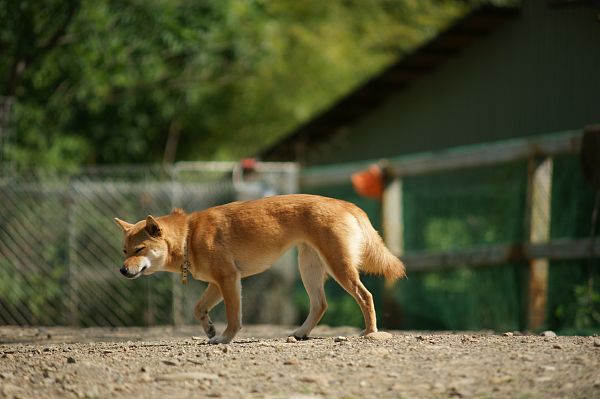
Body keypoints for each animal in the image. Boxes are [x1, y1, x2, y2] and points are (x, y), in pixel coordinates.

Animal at [115, 194, 406, 344]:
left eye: (139, 250)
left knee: (365, 296)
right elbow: (198, 308)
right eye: (125, 251)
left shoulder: (229, 279)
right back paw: (301, 333)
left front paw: (224, 338)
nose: (122, 271)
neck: (189, 237)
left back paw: (370, 333)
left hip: (339, 266)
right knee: (320, 304)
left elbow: (234, 317)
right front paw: (209, 329)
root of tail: (346, 203)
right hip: (309, 267)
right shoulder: (217, 283)